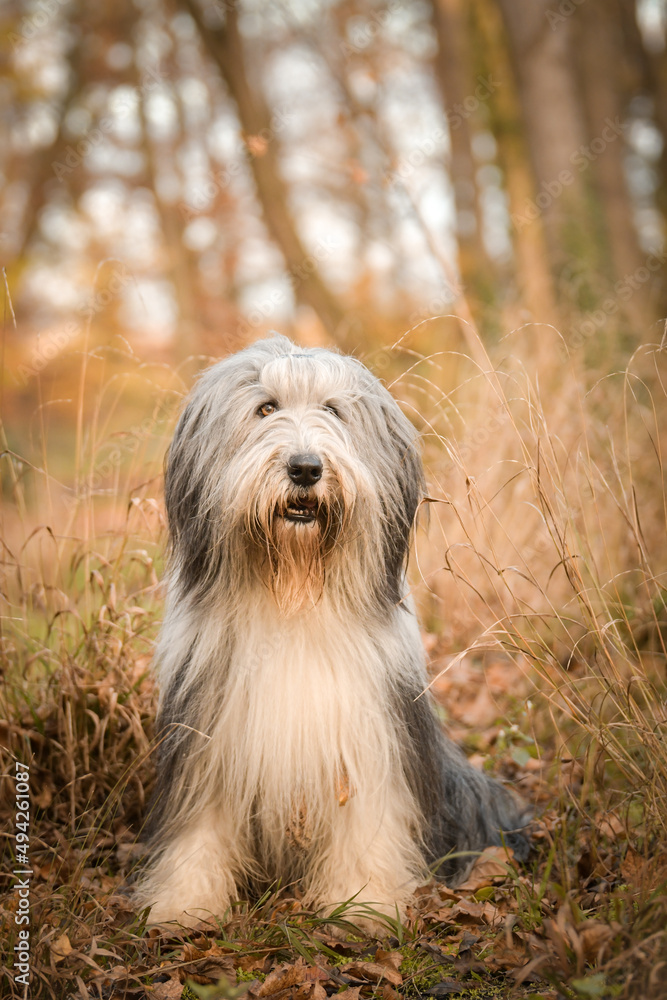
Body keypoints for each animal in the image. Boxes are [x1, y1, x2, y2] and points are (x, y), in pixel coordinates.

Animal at [136, 336, 528, 928]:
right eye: (266, 408)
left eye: (334, 410)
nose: (305, 468)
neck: (294, 592)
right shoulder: (205, 733)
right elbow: (198, 822)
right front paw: (185, 904)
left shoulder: (371, 735)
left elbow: (371, 817)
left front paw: (363, 903)